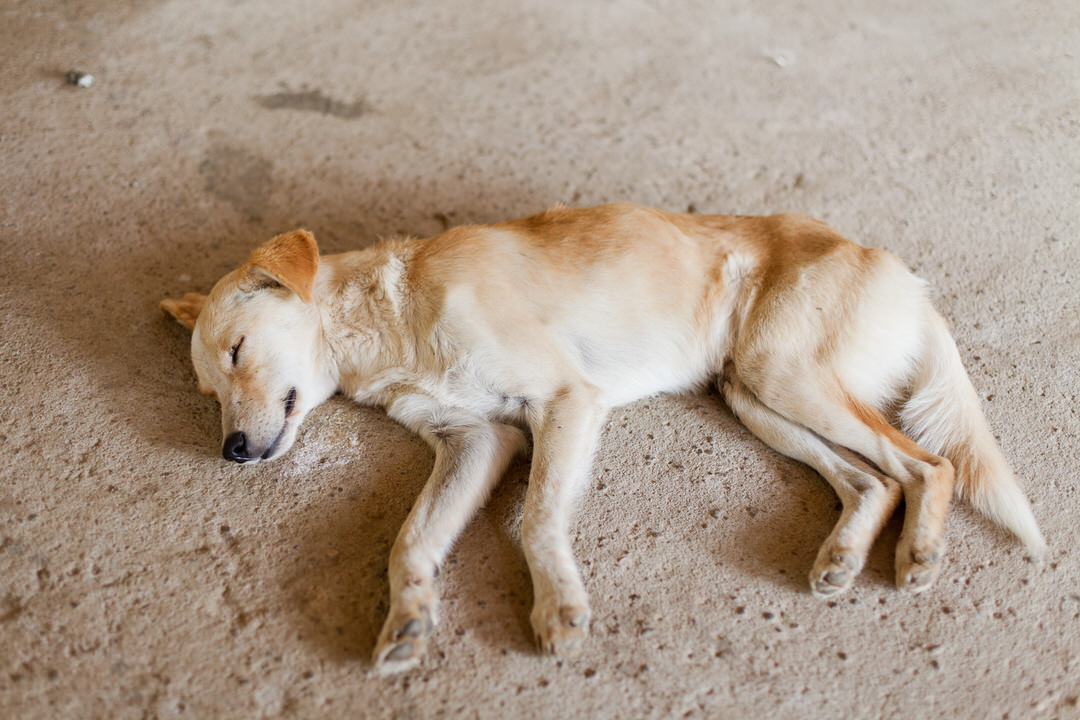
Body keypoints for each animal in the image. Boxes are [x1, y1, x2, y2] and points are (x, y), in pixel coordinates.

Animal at [162, 201, 1045, 669]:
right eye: (208, 391)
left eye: (237, 351)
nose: (229, 451)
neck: (392, 320)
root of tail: (902, 273)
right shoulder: (477, 442)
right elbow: (410, 541)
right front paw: (407, 617)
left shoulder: (566, 401)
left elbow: (539, 519)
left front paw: (558, 605)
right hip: (754, 395)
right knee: (876, 479)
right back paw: (842, 557)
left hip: (784, 373)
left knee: (929, 466)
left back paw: (918, 553)